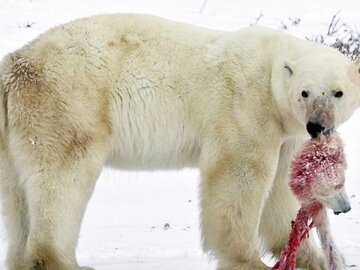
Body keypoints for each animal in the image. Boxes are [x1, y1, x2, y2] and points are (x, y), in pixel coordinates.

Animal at [0, 14, 360, 270]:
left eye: (338, 92)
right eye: (305, 92)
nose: (317, 126)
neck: (271, 69)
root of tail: (15, 63)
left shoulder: (286, 135)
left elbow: (280, 194)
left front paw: (310, 258)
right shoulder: (245, 108)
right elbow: (238, 177)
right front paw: (248, 261)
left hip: (15, 131)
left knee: (17, 196)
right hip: (69, 104)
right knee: (62, 181)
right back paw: (61, 261)